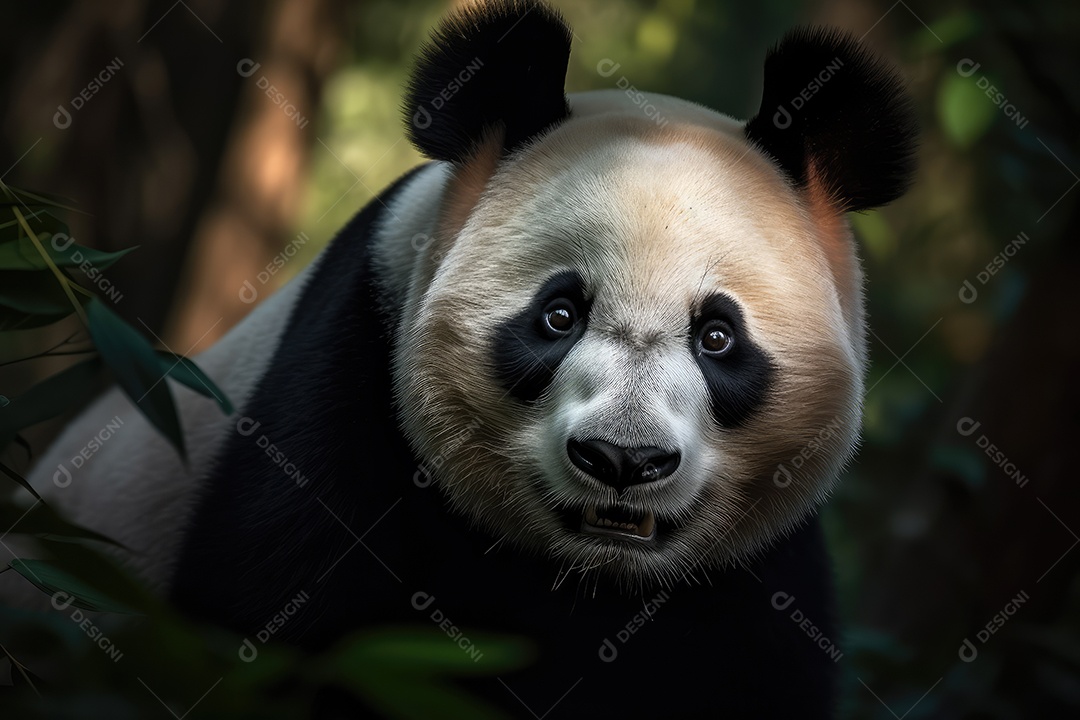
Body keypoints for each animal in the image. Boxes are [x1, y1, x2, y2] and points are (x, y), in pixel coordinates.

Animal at [3, 0, 916, 716]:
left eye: (717, 336)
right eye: (558, 315)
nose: (621, 460)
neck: (588, 581)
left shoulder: (755, 572)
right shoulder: (344, 401)